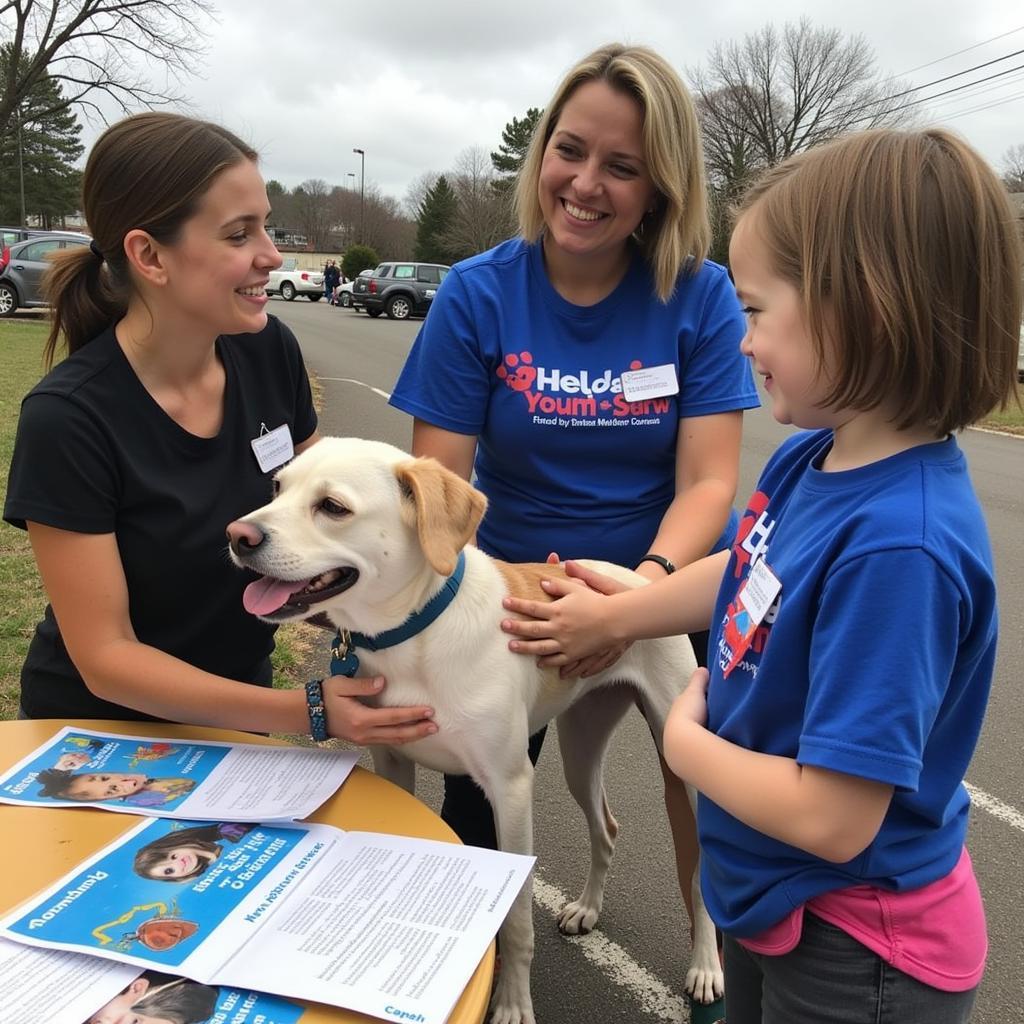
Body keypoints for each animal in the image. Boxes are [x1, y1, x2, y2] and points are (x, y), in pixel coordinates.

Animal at [226, 438, 720, 1024]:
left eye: (333, 507)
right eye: (278, 487)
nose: (237, 535)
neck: (416, 633)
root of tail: (632, 578)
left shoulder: (510, 788)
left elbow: (518, 920)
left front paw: (512, 1004)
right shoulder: (394, 762)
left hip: (685, 768)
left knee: (703, 871)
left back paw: (706, 967)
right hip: (581, 744)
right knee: (606, 826)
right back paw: (588, 908)